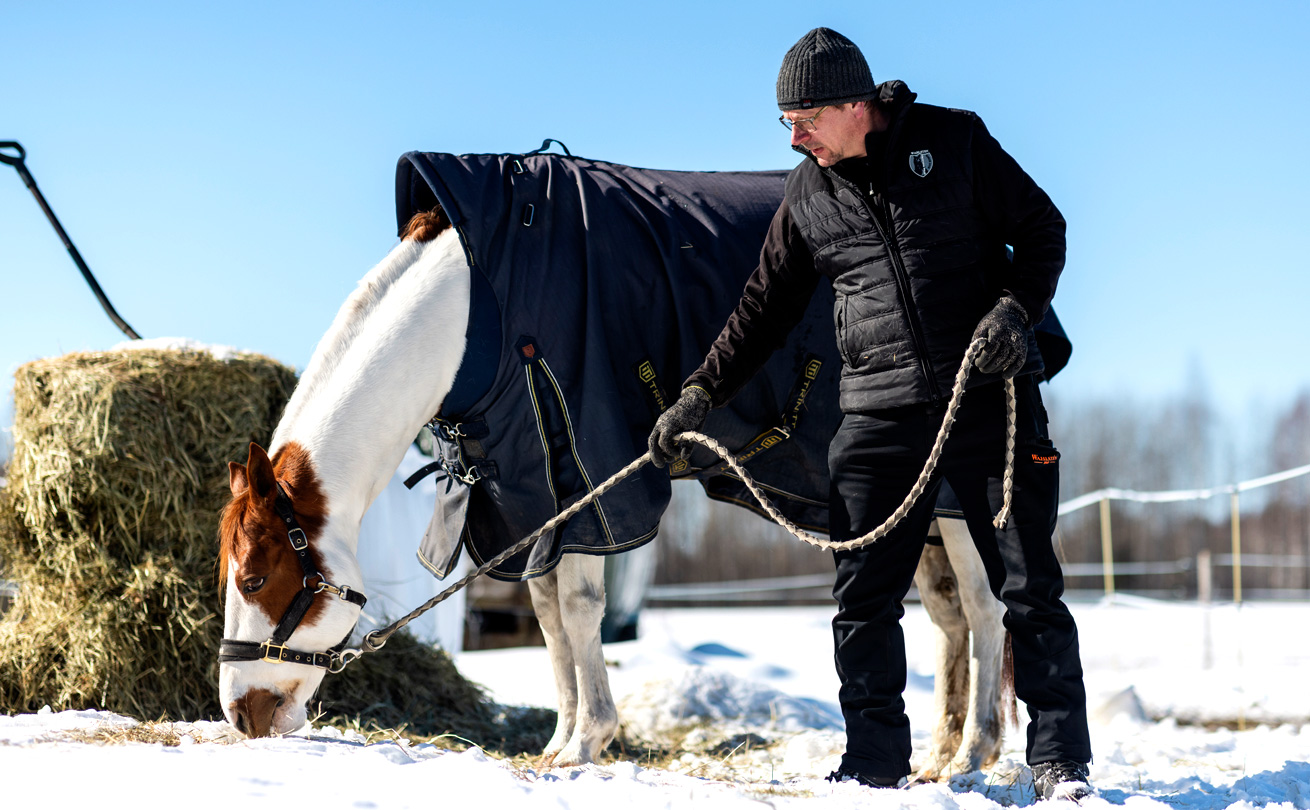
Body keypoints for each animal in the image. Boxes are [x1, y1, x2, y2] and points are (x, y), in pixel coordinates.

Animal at [222, 148, 1042, 770]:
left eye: (256, 577)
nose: (241, 716)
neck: (477, 306)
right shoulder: (531, 493)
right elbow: (549, 616)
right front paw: (558, 741)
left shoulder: (592, 476)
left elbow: (582, 610)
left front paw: (587, 743)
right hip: (915, 504)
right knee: (948, 617)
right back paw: (937, 757)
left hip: (958, 491)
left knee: (986, 607)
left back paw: (973, 756)